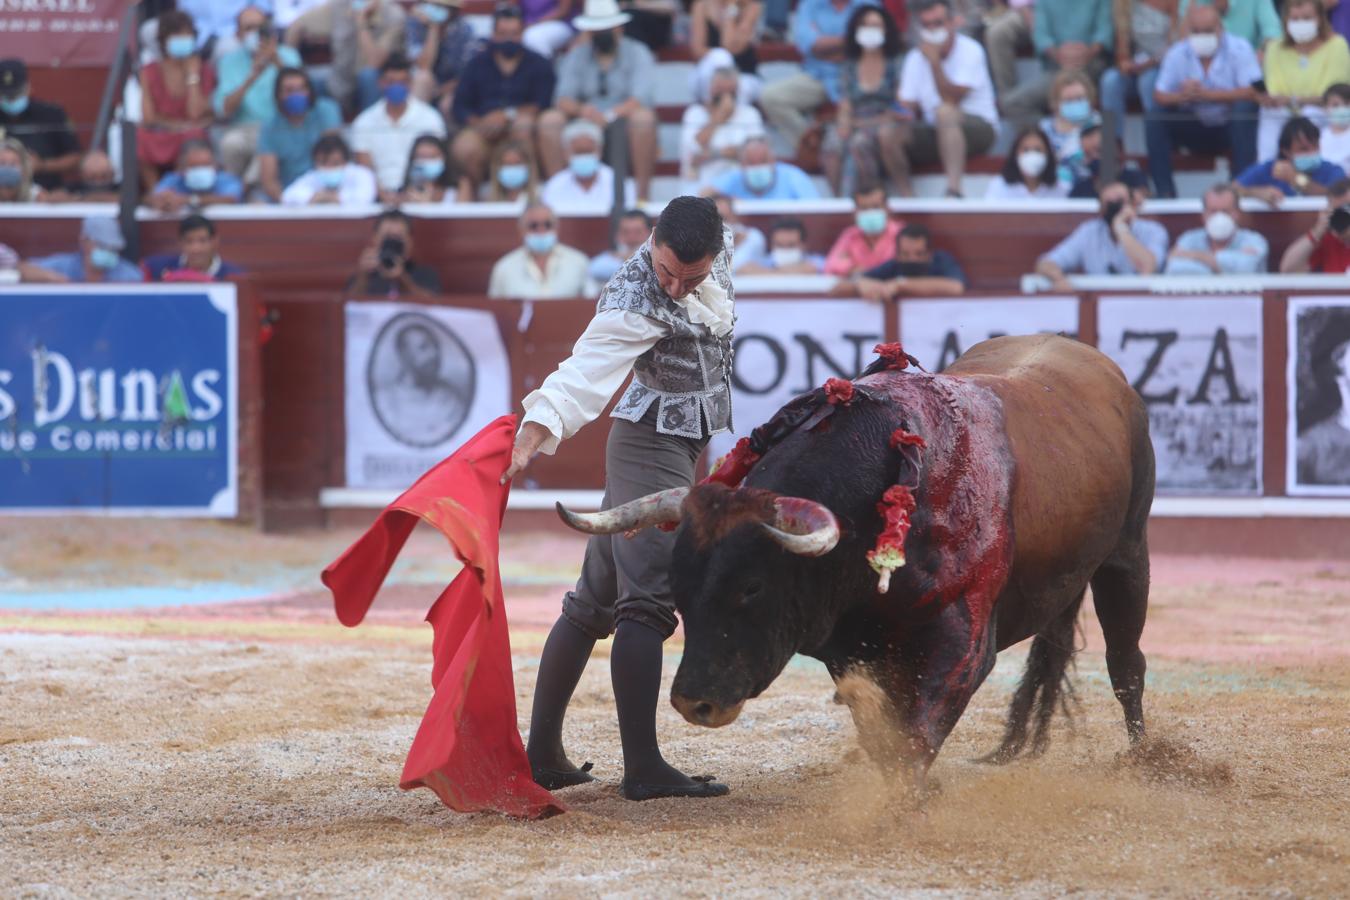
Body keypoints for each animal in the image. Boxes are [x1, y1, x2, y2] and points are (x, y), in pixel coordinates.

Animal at [553, 334, 1155, 782]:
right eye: (678, 584)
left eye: (752, 587)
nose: (693, 703)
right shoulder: (852, 646)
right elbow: (881, 726)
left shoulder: (965, 639)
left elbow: (918, 731)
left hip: (1128, 554)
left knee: (1125, 661)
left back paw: (1145, 759)